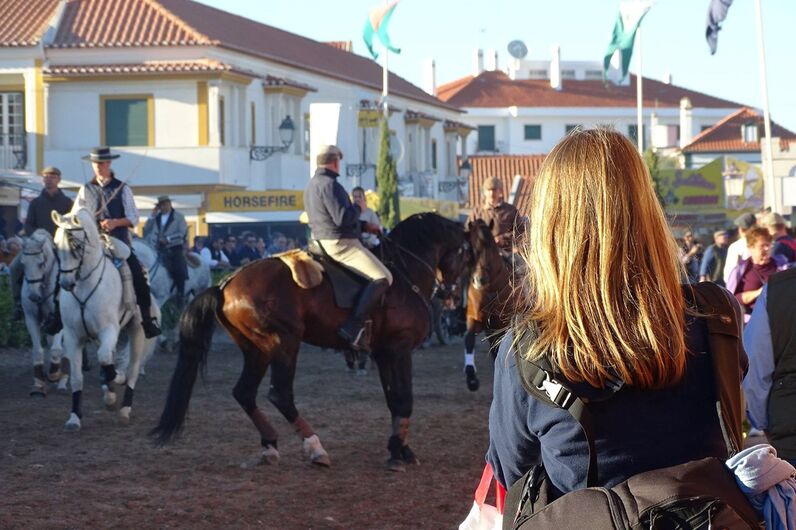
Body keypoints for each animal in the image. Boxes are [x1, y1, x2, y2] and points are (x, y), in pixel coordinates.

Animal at [20, 229, 67, 396]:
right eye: (23, 264)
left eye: (41, 263)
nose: (34, 297)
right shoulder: (31, 318)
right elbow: (38, 350)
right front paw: (39, 384)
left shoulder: (60, 321)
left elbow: (56, 350)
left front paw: (53, 375)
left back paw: (62, 381)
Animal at [52, 208, 160, 431]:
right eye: (56, 245)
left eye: (76, 246)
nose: (66, 283)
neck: (85, 286)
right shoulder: (73, 336)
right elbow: (77, 378)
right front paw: (74, 417)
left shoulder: (108, 329)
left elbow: (105, 360)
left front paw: (116, 382)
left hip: (137, 333)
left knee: (132, 370)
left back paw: (124, 408)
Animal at [151, 212, 470, 470]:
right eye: (466, 253)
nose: (451, 296)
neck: (404, 276)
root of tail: (224, 285)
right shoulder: (399, 350)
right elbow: (405, 399)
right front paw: (397, 453)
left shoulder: (383, 355)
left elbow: (394, 401)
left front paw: (402, 449)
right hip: (284, 342)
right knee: (280, 394)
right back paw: (315, 448)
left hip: (256, 350)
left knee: (244, 392)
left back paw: (270, 446)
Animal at [463, 219, 519, 391]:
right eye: (471, 248)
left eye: (492, 247)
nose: (480, 280)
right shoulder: (475, 320)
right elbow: (468, 339)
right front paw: (471, 378)